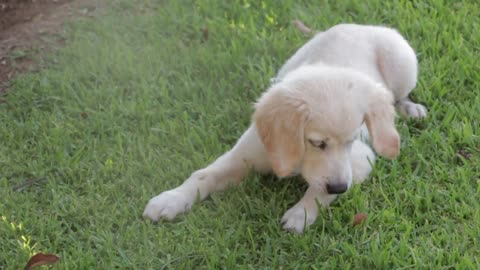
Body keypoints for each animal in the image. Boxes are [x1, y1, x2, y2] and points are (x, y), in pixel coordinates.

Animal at [143, 23, 428, 232]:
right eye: (317, 143)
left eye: (350, 141)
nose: (339, 188)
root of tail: (358, 25)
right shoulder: (244, 154)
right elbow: (203, 174)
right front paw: (171, 199)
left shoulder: (360, 159)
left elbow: (318, 190)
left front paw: (301, 214)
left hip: (402, 62)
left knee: (398, 96)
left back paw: (410, 109)